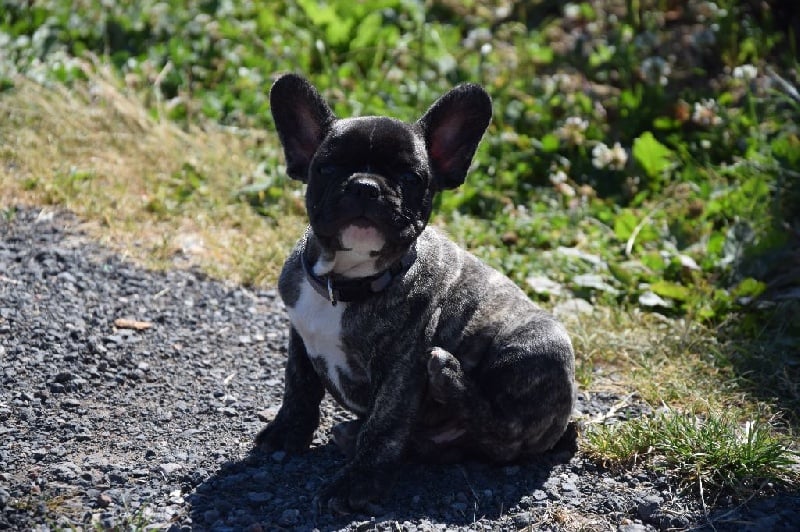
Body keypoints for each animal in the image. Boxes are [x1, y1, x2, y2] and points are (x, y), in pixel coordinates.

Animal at [256, 73, 576, 513]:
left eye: (410, 178)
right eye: (328, 167)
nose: (366, 187)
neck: (346, 282)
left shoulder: (403, 366)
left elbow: (384, 426)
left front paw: (357, 483)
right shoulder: (300, 338)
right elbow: (299, 387)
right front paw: (286, 433)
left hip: (535, 347)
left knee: (503, 433)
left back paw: (448, 377)